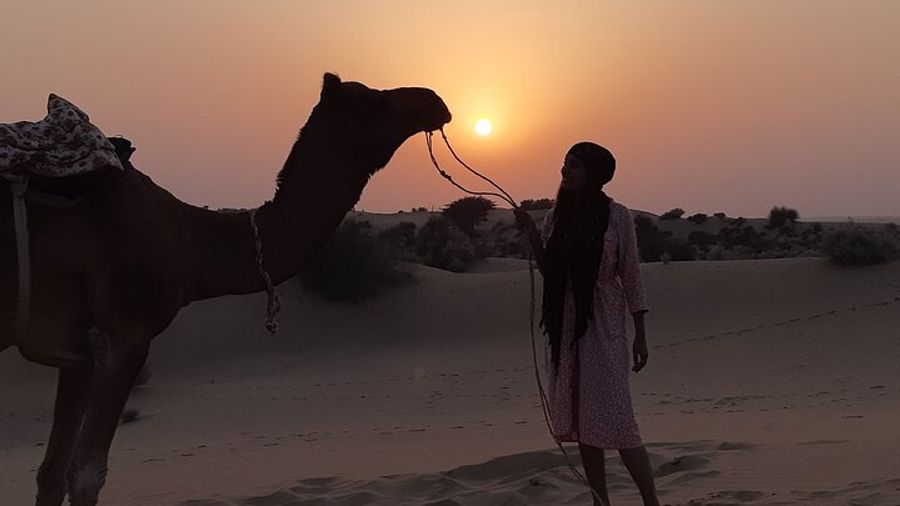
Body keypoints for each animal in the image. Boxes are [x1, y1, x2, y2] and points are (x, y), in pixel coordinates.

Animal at [0, 73, 451, 506]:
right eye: (372, 102)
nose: (434, 100)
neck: (186, 241)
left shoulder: (76, 351)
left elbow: (51, 474)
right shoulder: (124, 334)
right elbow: (86, 477)